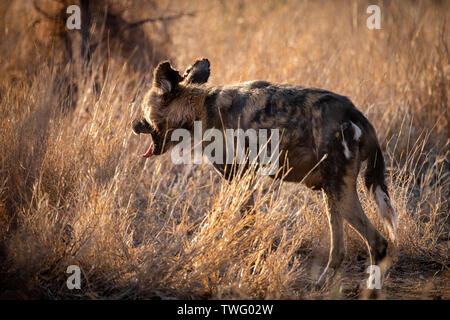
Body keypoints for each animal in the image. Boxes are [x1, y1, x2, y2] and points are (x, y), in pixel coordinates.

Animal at [133, 58, 398, 286]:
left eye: (143, 111)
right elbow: (247, 223)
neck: (199, 105)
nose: (133, 125)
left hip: (340, 192)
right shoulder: (246, 180)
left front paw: (248, 267)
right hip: (331, 193)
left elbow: (243, 224)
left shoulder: (238, 178)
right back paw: (320, 284)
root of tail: (356, 114)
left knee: (378, 243)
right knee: (339, 250)